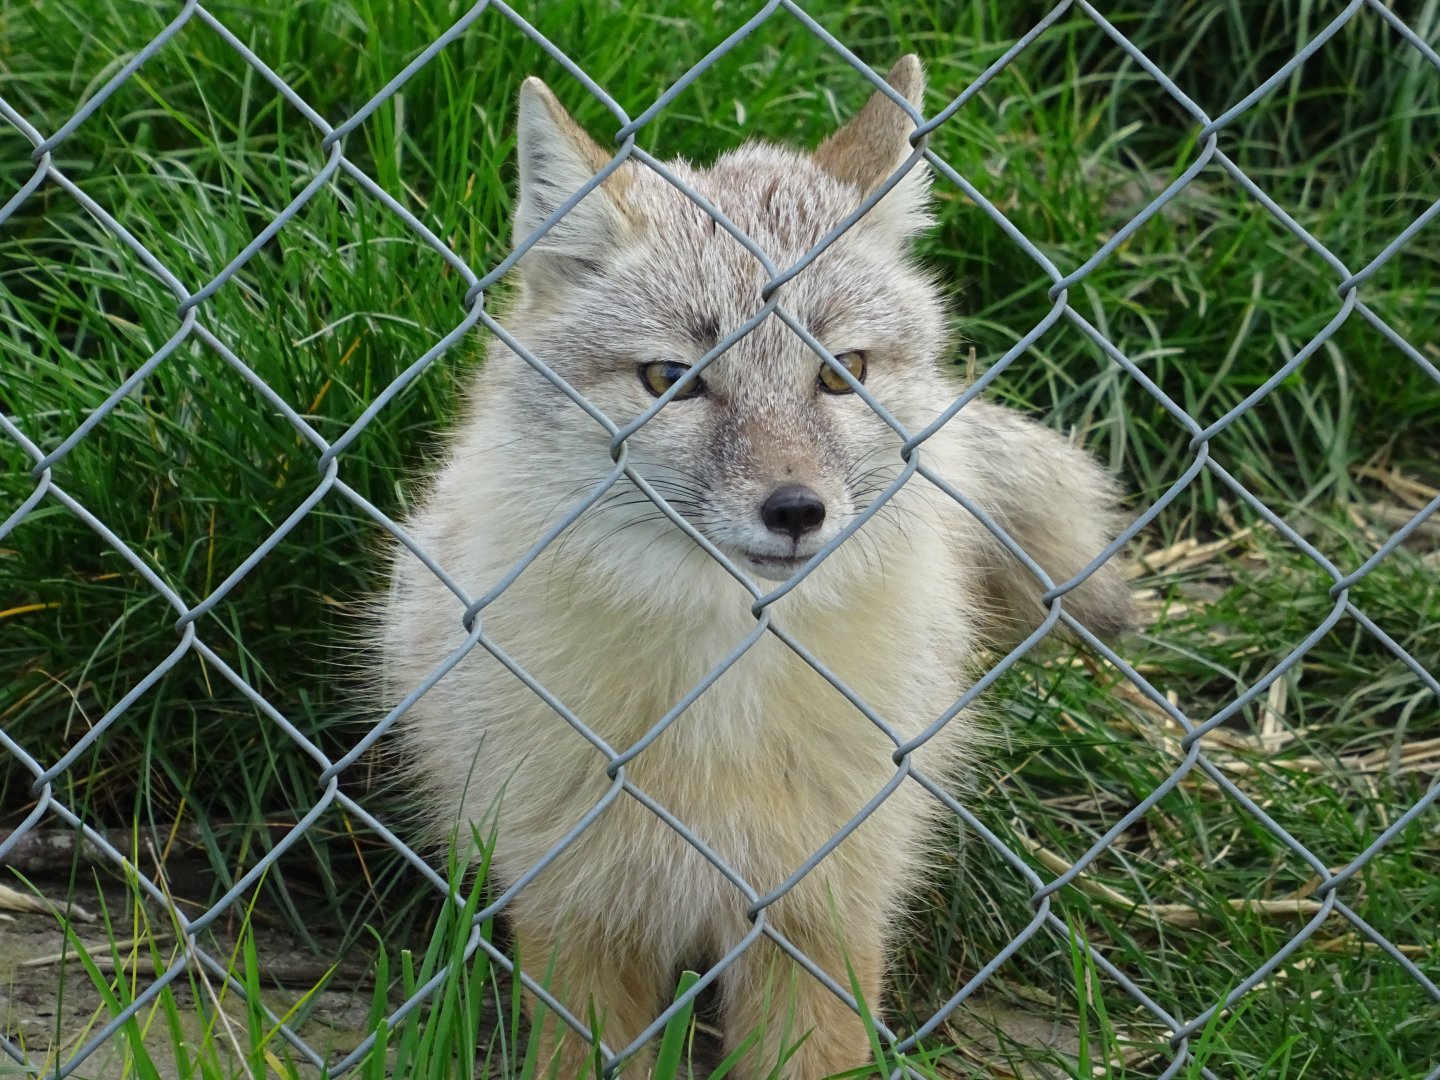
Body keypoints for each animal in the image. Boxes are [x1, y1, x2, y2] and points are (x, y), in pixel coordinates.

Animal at [379, 55, 1132, 1079]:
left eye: (841, 370)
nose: (797, 511)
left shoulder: (822, 909)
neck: (720, 702)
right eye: (671, 379)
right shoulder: (577, 909)